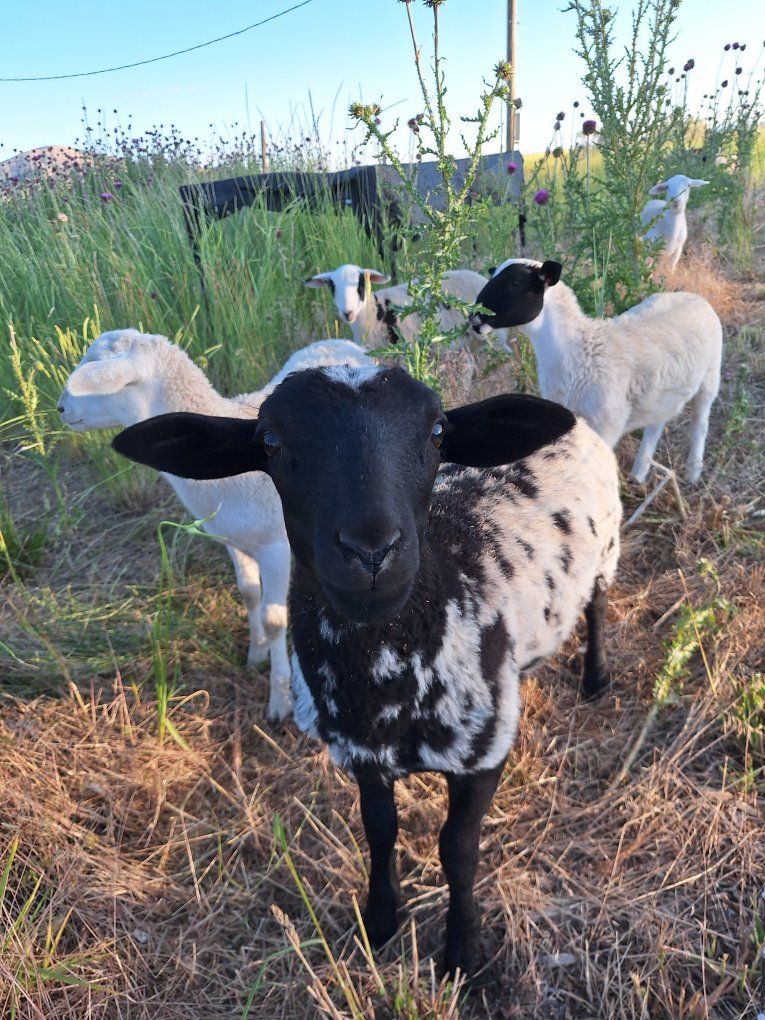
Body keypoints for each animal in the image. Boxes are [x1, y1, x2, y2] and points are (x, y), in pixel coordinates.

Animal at [58, 330, 373, 720]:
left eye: (97, 375)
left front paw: (280, 699)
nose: (61, 408)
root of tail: (341, 341)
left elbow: (274, 618)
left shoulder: (274, 547)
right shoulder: (234, 540)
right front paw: (256, 654)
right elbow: (248, 593)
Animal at [110, 363, 622, 978]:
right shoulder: (359, 754)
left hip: (607, 549)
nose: (372, 552)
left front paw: (462, 953)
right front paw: (379, 922)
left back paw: (596, 678)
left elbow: (458, 849)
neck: (386, 684)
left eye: (438, 432)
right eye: (270, 442)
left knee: (597, 604)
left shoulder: (483, 751)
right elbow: (379, 831)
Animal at [470, 259, 723, 484]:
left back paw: (692, 474)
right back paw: (639, 474)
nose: (473, 317)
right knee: (656, 423)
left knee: (700, 423)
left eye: (515, 282)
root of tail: (695, 297)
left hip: (711, 376)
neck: (578, 350)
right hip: (662, 392)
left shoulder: (606, 424)